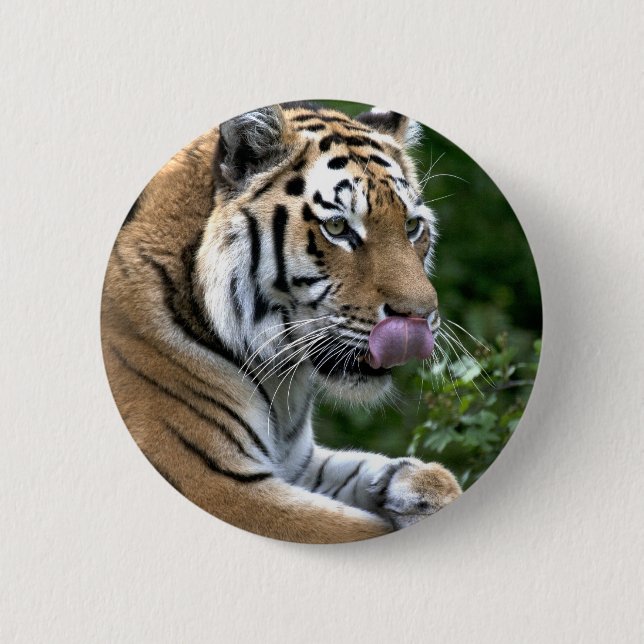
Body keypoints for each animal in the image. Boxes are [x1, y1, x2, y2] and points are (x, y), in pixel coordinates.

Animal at [101, 101, 461, 544]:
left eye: (412, 226)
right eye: (337, 227)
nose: (421, 317)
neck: (280, 385)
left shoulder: (298, 463)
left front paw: (414, 484)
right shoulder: (219, 482)